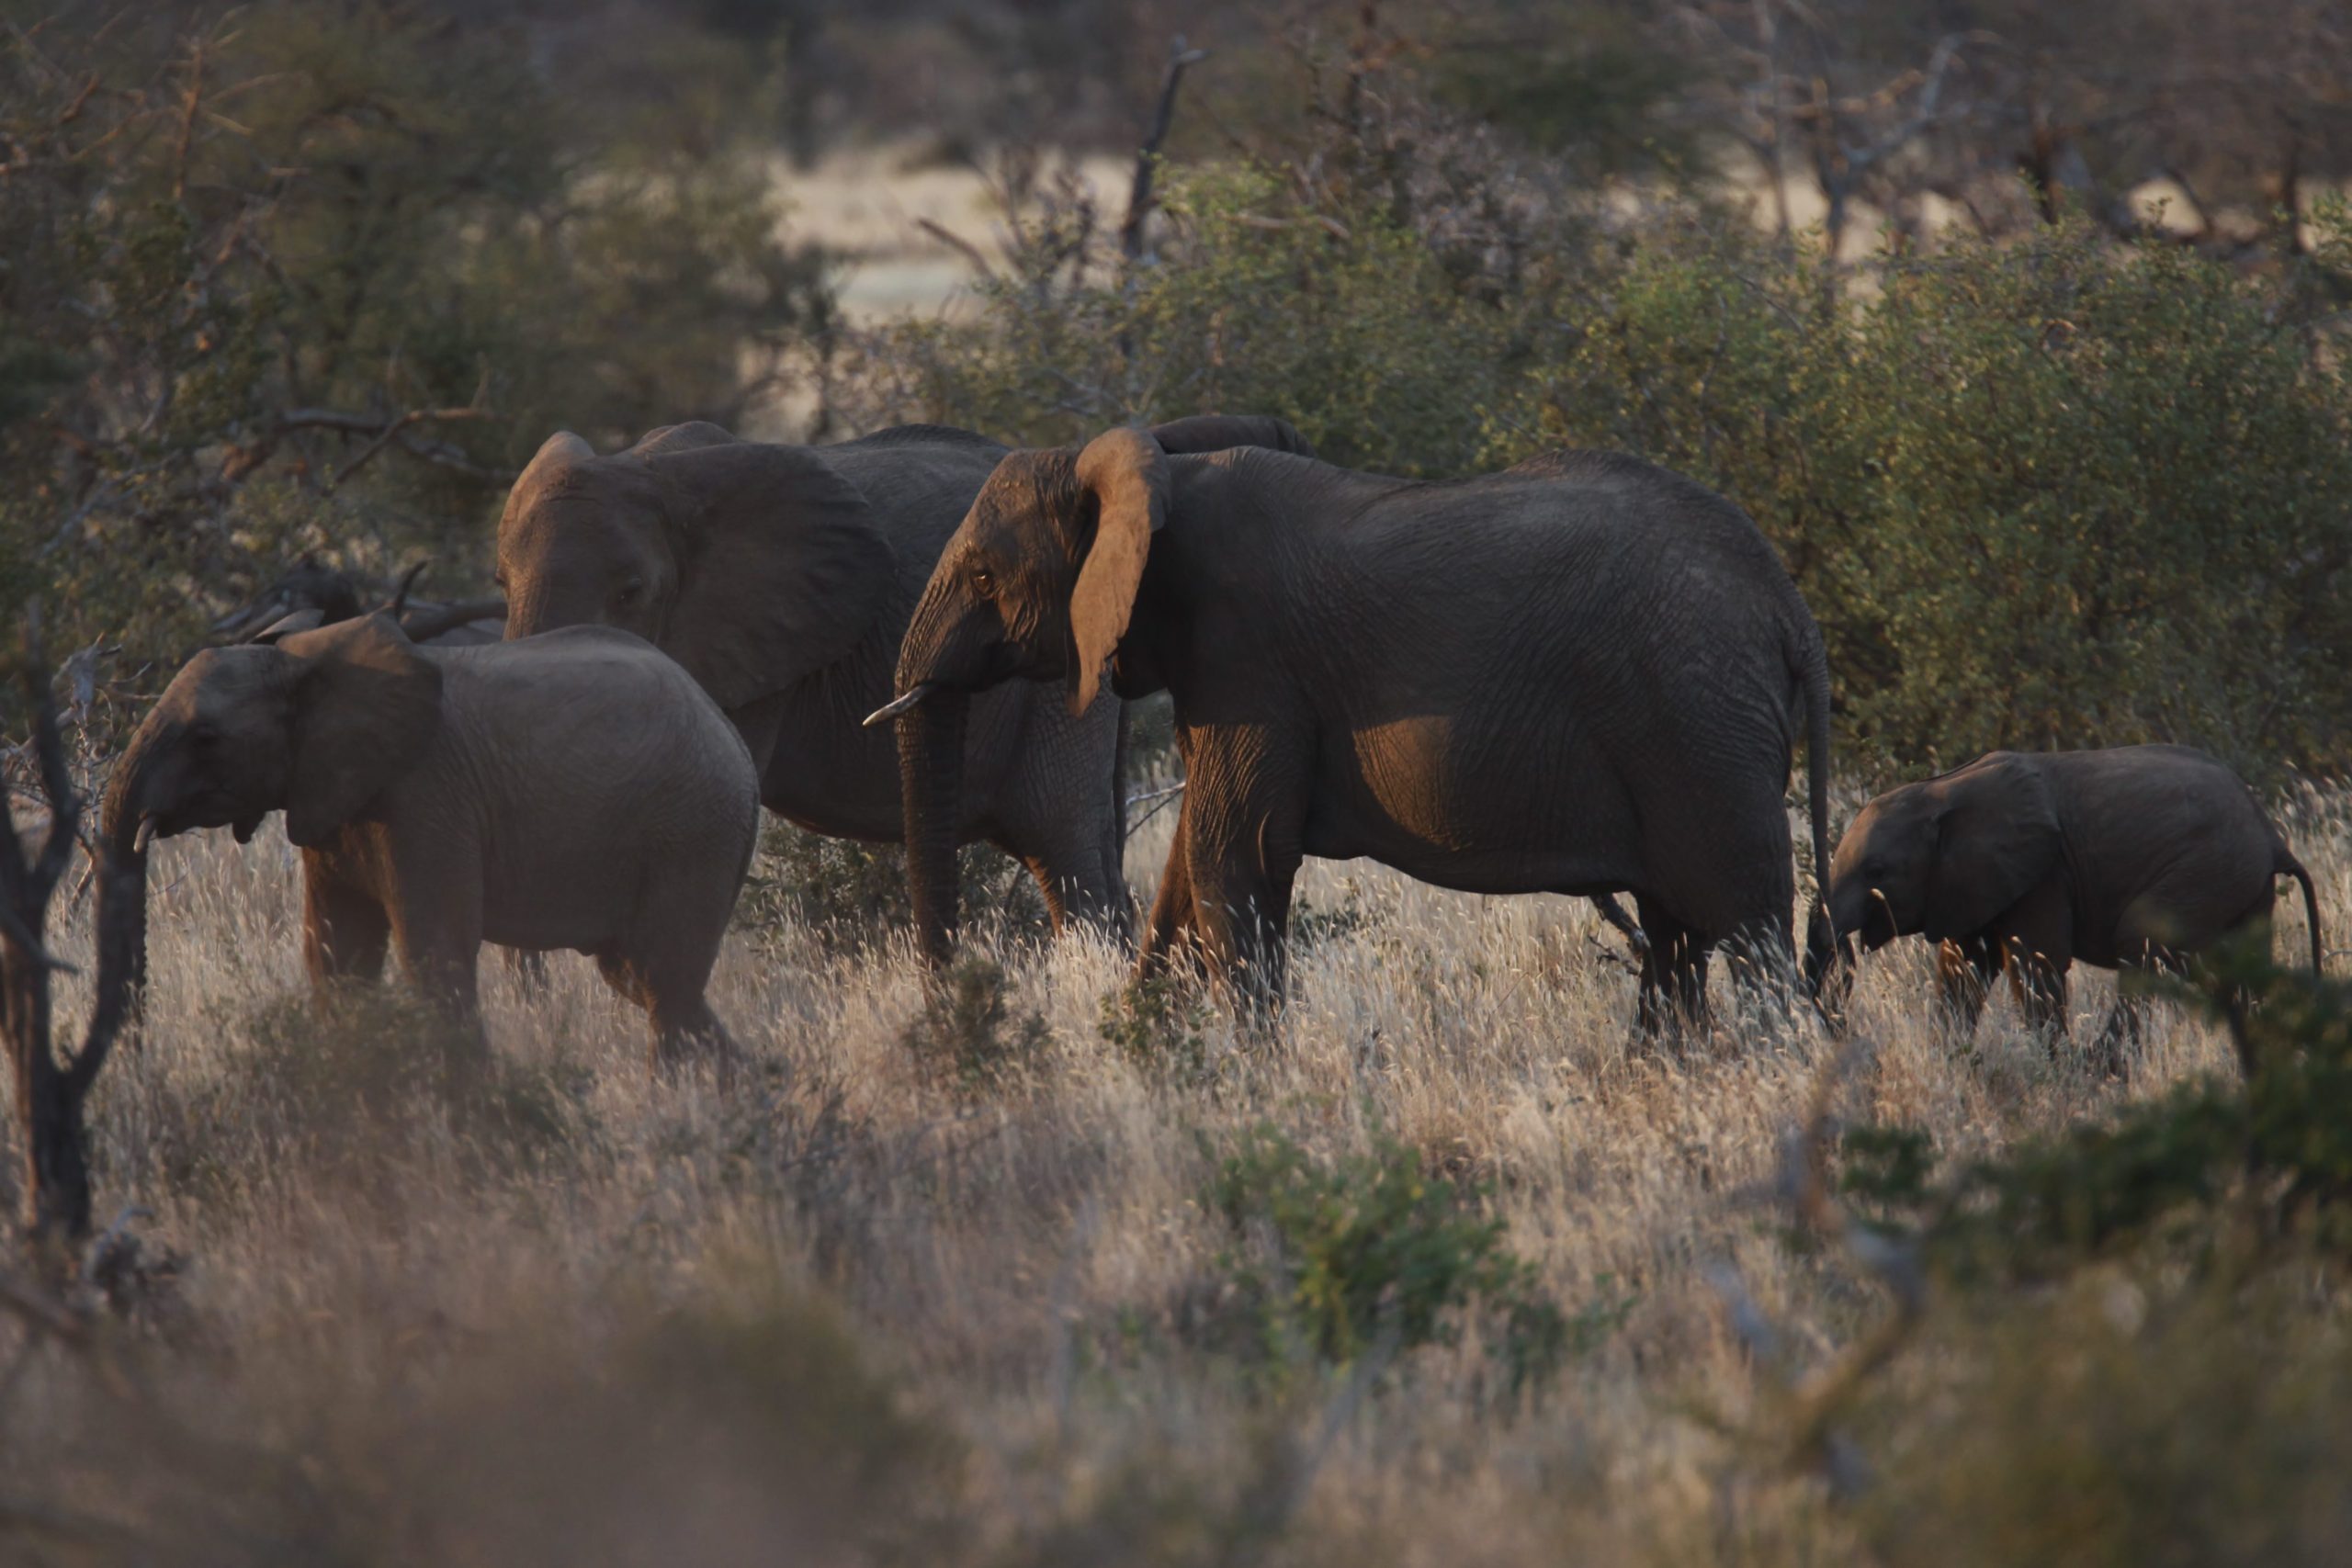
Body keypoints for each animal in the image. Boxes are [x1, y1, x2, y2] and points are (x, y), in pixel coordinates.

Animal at [102, 613, 760, 1071]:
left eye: (206, 738)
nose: (138, 1061)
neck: (303, 659)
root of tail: (733, 738)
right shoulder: (332, 799)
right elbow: (336, 956)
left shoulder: (425, 799)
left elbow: (432, 949)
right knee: (642, 977)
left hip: (691, 829)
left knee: (664, 983)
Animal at [873, 429, 1836, 1030]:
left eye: (985, 575)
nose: (942, 1001)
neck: (1151, 470)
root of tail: (1789, 606)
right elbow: (1191, 867)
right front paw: (1150, 1054)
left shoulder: (1248, 658)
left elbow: (1235, 858)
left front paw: (1249, 1089)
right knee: (1677, 933)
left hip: (1698, 720)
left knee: (1745, 928)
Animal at [1820, 745, 2324, 1067]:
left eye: (1876, 871)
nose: (1851, 1041)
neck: (1942, 790)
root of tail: (2271, 832)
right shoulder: (1969, 880)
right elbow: (1963, 967)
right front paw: (1950, 1059)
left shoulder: (2044, 873)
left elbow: (2034, 963)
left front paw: (2052, 1067)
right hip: (2243, 883)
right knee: (2239, 969)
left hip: (2210, 867)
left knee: (2141, 940)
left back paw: (2099, 1065)